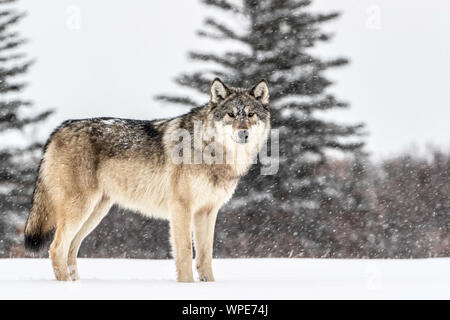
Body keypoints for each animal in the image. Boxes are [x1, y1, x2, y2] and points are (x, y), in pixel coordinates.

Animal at [24, 79, 268, 282]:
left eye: (250, 115)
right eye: (231, 115)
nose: (243, 134)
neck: (211, 151)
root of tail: (58, 130)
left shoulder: (207, 211)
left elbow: (205, 257)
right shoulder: (181, 208)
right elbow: (184, 254)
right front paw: (187, 286)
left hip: (96, 212)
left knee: (71, 249)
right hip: (80, 209)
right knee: (56, 248)